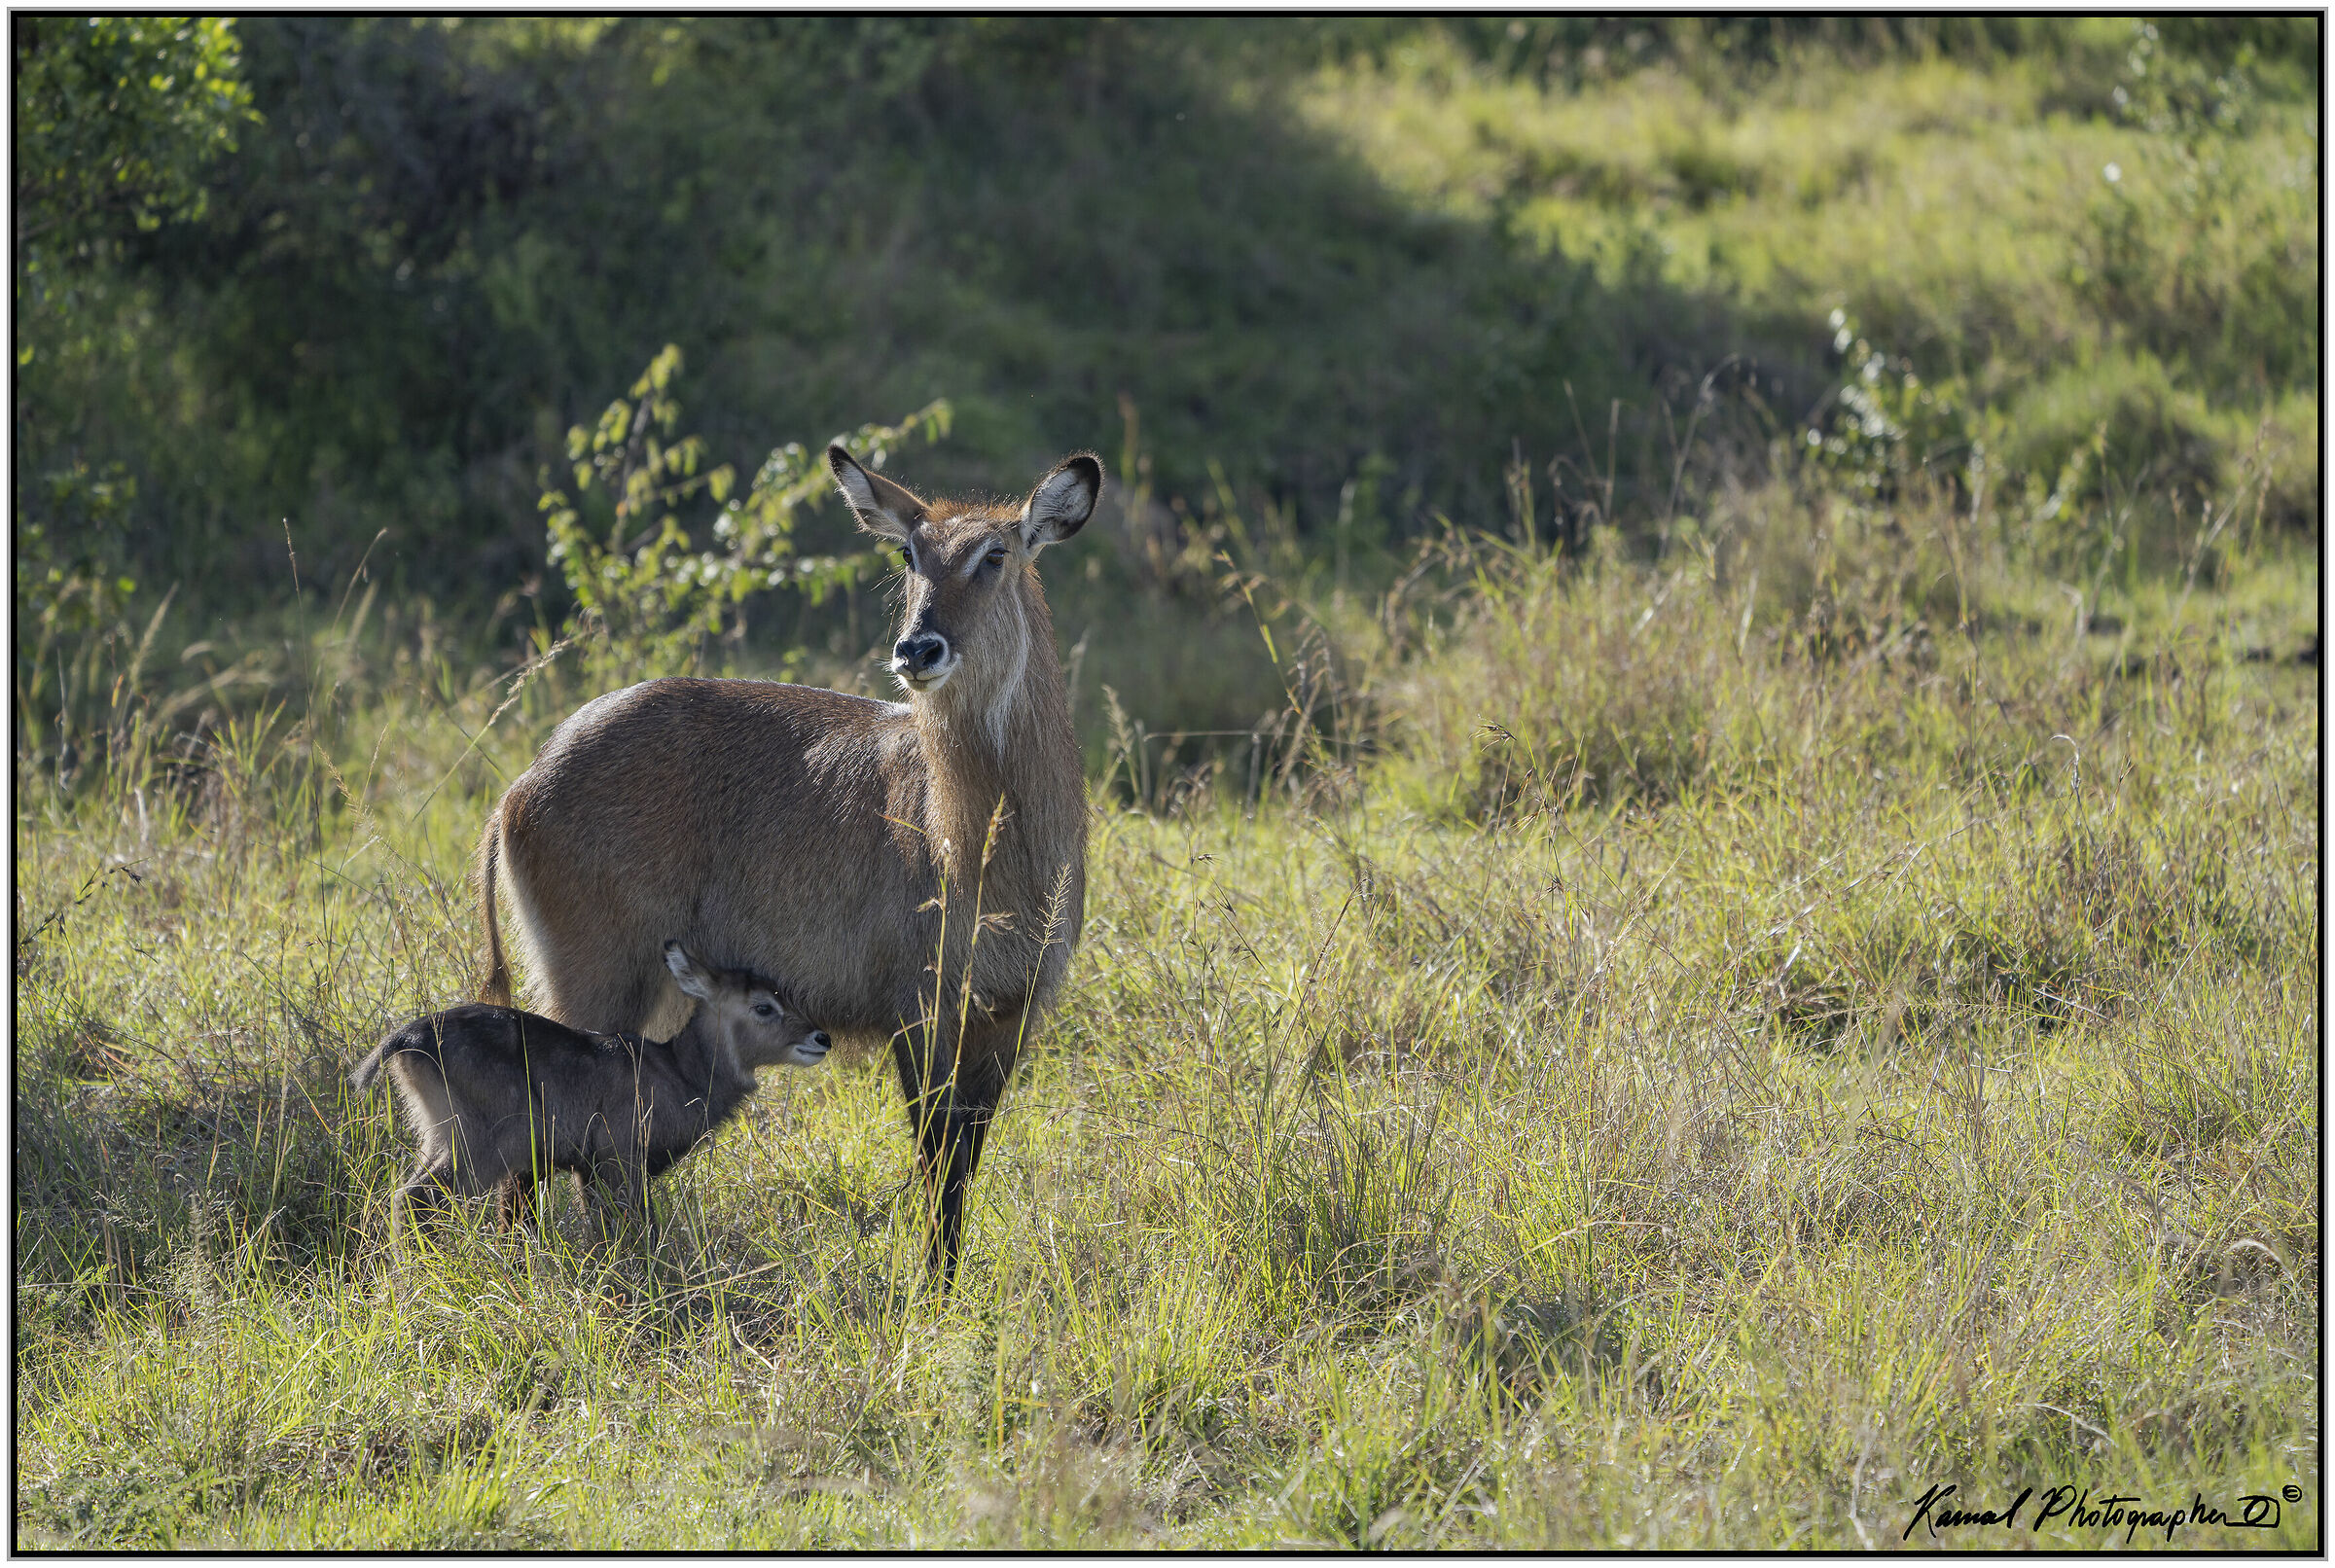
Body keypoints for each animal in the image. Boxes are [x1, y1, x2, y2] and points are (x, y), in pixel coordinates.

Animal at [351, 941, 831, 1236]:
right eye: (763, 1006)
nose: (821, 1038)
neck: (680, 1071)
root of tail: (408, 1037)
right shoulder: (618, 1158)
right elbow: (631, 1229)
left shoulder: (588, 1168)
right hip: (481, 1146)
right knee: (414, 1200)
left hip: (439, 1137)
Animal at [472, 445, 1098, 1287]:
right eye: (909, 554)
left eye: (994, 555)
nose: (917, 649)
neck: (983, 844)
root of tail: (520, 785)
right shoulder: (919, 1007)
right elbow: (936, 1160)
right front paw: (931, 1294)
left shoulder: (1012, 1014)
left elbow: (965, 1162)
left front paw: (947, 1286)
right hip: (595, 978)